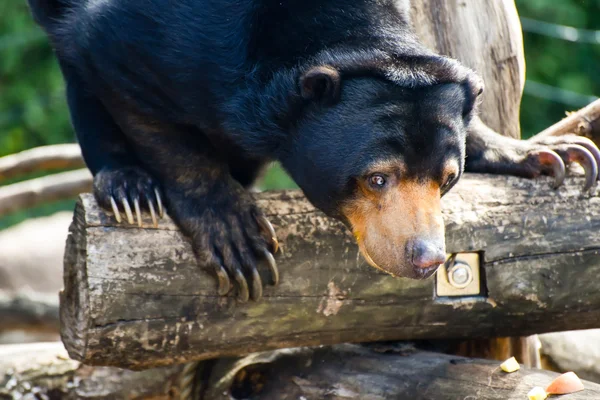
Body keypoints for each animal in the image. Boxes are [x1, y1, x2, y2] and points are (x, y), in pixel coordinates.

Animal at [29, 0, 600, 300]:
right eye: (376, 178)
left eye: (447, 179)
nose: (428, 258)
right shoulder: (164, 39)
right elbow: (110, 62)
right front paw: (234, 233)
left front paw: (549, 154)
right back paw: (127, 186)